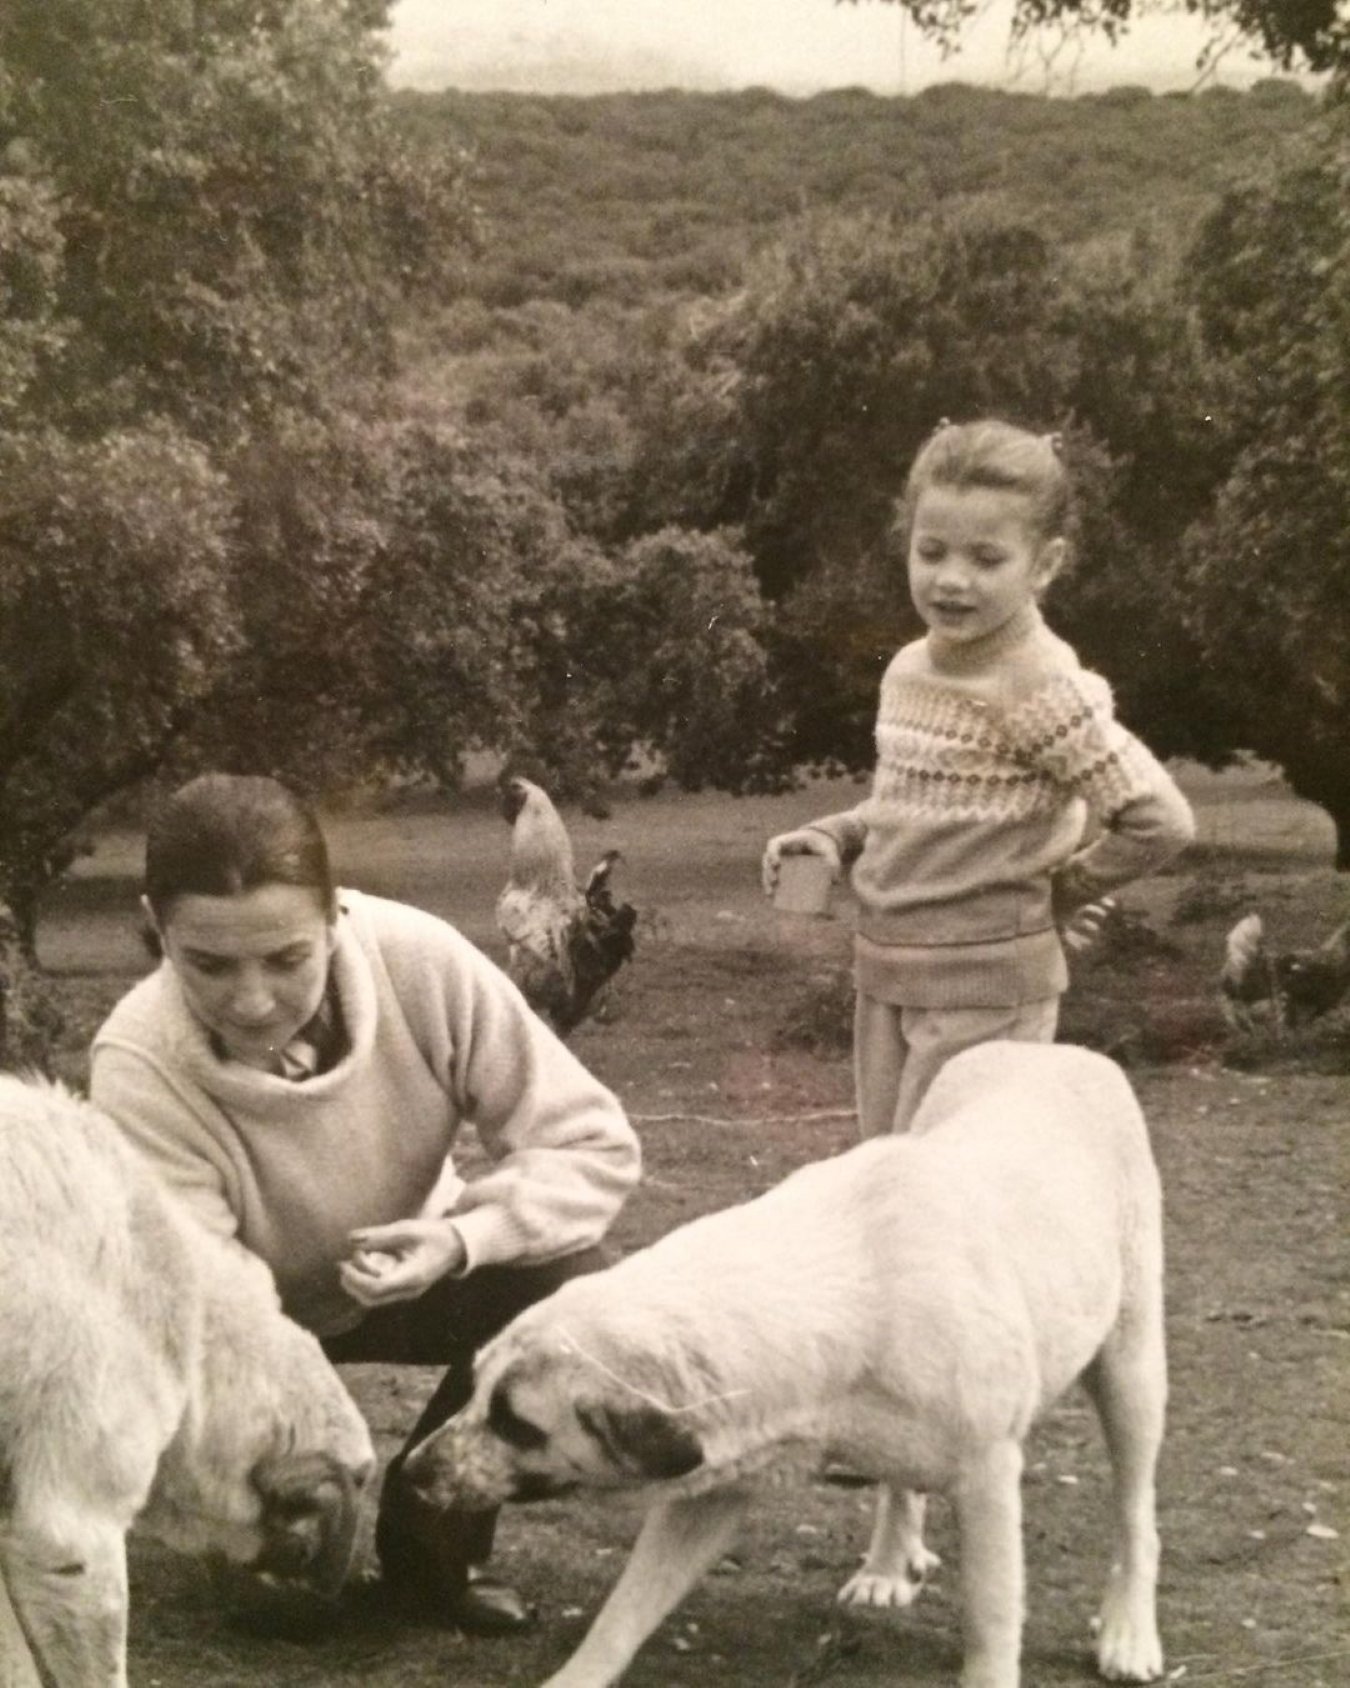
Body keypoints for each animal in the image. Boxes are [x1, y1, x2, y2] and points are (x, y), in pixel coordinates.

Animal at [406, 1039, 1167, 1688]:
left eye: (516, 1424)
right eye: (474, 1388)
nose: (413, 1472)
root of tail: (1052, 1049)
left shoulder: (988, 1478)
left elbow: (992, 1617)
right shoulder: (712, 1484)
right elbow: (623, 1613)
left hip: (1132, 1369)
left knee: (1136, 1511)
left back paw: (1129, 1633)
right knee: (901, 1484)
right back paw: (889, 1562)